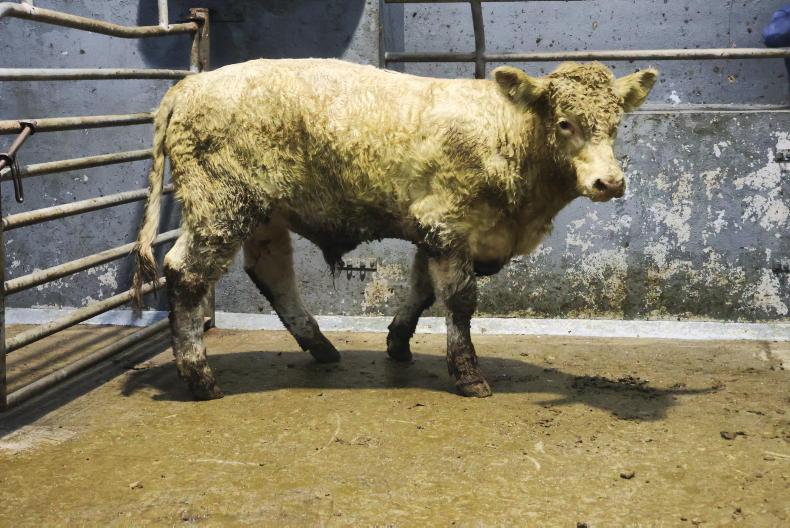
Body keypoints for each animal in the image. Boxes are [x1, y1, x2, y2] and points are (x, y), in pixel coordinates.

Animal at [132, 59, 657, 400]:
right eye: (565, 123)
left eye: (616, 124)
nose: (609, 182)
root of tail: (191, 84)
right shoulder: (447, 222)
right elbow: (459, 301)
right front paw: (467, 374)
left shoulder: (435, 230)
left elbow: (422, 290)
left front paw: (398, 343)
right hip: (219, 205)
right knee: (185, 273)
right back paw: (200, 378)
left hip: (262, 213)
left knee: (272, 273)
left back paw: (320, 347)